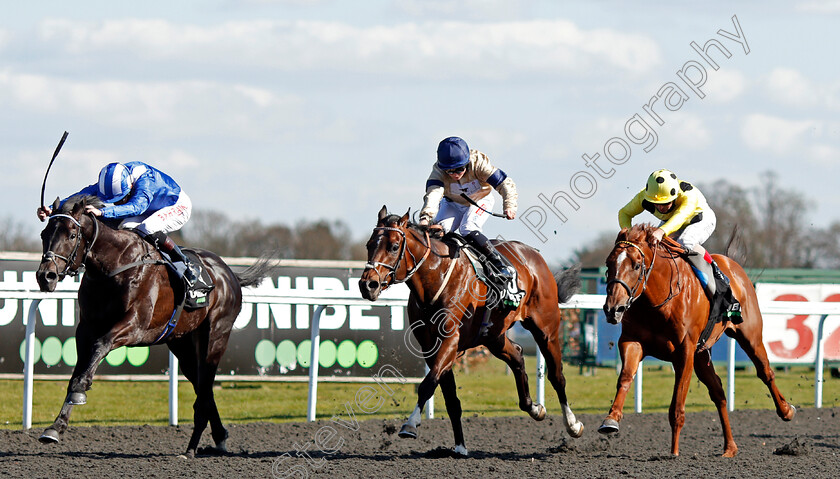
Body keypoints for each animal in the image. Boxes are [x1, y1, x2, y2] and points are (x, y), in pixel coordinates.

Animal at [33, 195, 266, 458]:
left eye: (72, 234)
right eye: (44, 233)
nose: (46, 276)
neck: (114, 265)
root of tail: (230, 274)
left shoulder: (134, 326)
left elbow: (99, 349)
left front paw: (81, 391)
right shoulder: (85, 329)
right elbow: (78, 372)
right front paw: (55, 427)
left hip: (215, 337)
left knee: (205, 390)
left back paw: (191, 449)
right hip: (183, 344)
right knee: (203, 388)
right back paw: (218, 437)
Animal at [356, 207, 584, 458]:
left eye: (394, 246)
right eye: (369, 244)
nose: (368, 285)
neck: (436, 277)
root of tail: (534, 255)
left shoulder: (450, 341)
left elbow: (427, 383)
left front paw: (410, 424)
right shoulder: (431, 347)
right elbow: (450, 398)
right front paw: (460, 447)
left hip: (546, 330)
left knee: (557, 376)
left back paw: (573, 424)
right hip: (494, 337)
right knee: (517, 355)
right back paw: (534, 408)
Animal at [596, 225, 796, 458]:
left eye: (637, 265)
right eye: (609, 264)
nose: (613, 309)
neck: (658, 301)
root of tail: (732, 264)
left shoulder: (684, 351)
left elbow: (677, 405)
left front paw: (674, 452)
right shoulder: (632, 342)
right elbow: (626, 377)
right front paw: (611, 419)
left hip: (750, 336)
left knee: (765, 372)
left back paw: (786, 411)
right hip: (701, 355)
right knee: (718, 393)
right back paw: (730, 447)